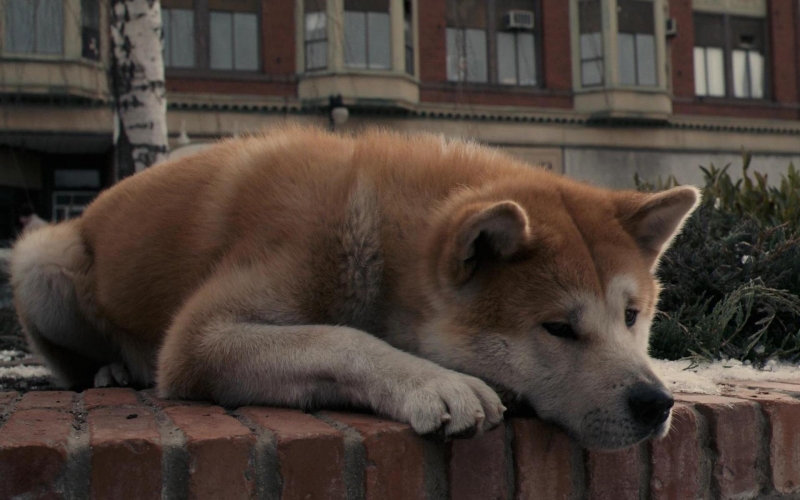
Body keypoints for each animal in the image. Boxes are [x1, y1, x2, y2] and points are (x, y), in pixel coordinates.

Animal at [14, 126, 700, 450]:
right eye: (558, 327)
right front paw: (435, 382)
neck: (375, 234)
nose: (655, 403)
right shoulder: (197, 340)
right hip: (38, 262)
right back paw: (111, 370)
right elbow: (341, 338)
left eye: (632, 316)